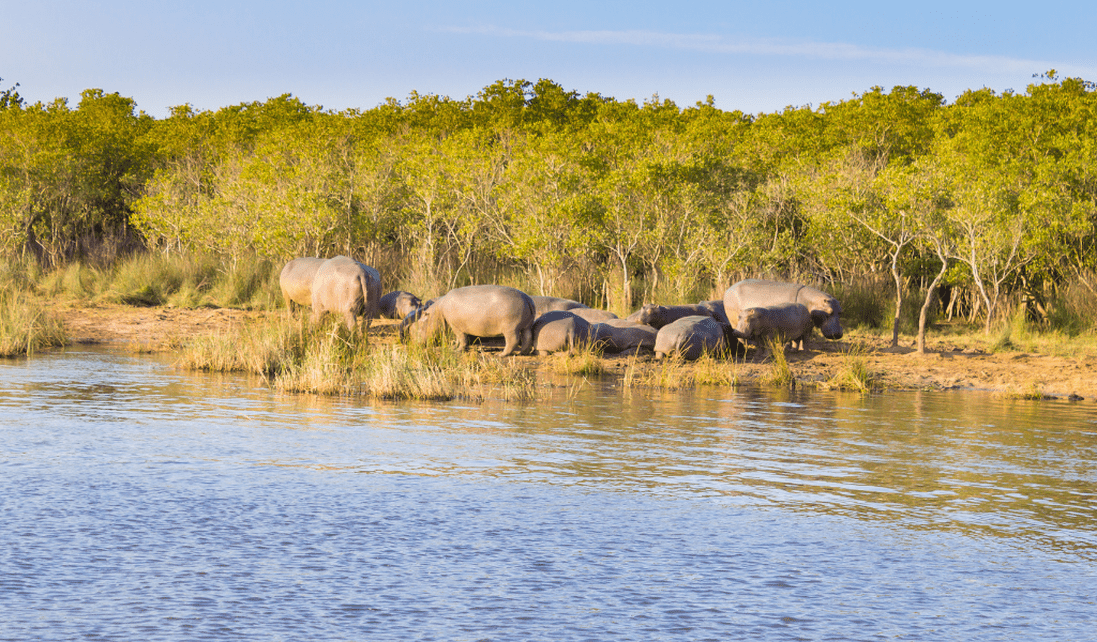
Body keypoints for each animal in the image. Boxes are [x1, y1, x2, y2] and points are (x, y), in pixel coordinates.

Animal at [405, 285, 535, 357]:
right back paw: (522, 353)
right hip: (526, 326)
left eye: (420, 323)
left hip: (510, 328)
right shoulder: (455, 326)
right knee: (527, 338)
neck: (438, 310)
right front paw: (454, 347)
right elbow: (458, 339)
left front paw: (458, 350)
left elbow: (462, 338)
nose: (413, 343)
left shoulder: (455, 326)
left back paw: (500, 355)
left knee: (512, 341)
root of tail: (527, 298)